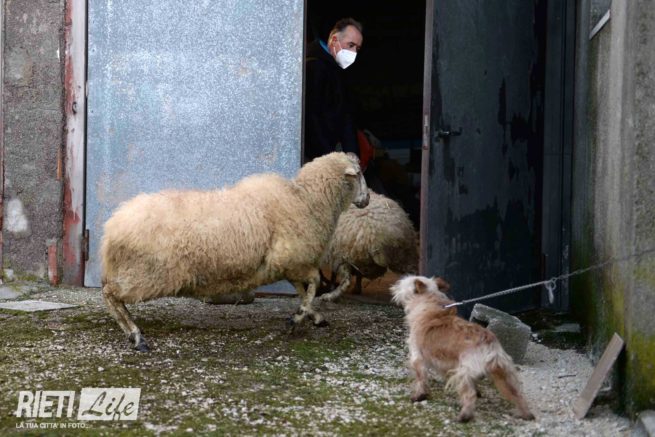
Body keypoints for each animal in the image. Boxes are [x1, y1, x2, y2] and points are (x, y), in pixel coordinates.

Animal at [101, 152, 369, 351]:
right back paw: (136, 336)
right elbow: (313, 284)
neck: (307, 200)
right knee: (110, 294)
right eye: (359, 174)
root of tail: (112, 227)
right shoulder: (292, 258)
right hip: (148, 273)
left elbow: (304, 291)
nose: (366, 200)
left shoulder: (287, 263)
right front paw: (298, 318)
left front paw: (312, 316)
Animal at [390, 275, 535, 422]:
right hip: (504, 372)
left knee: (470, 394)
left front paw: (419, 396)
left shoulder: (417, 357)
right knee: (516, 393)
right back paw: (525, 414)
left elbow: (421, 378)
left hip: (463, 372)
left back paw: (465, 415)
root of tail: (490, 345)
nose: (393, 287)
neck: (429, 303)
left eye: (401, 284)